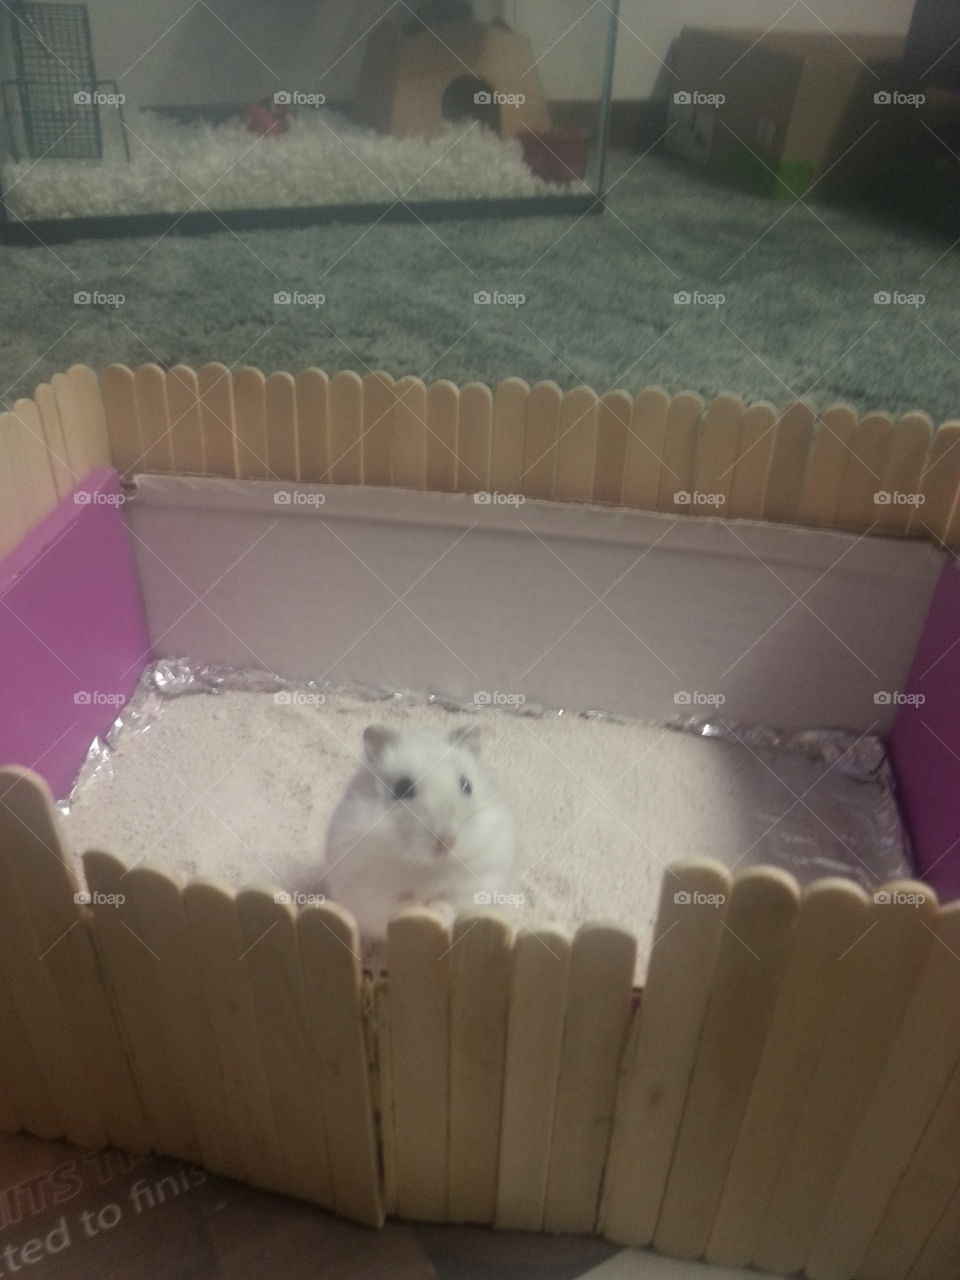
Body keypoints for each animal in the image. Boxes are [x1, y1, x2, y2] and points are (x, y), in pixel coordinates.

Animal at [323, 727, 519, 947]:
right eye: (402, 788)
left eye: (467, 786)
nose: (446, 842)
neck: (429, 867)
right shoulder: (370, 886)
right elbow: (403, 905)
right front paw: (421, 907)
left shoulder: (478, 879)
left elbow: (450, 902)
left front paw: (436, 911)